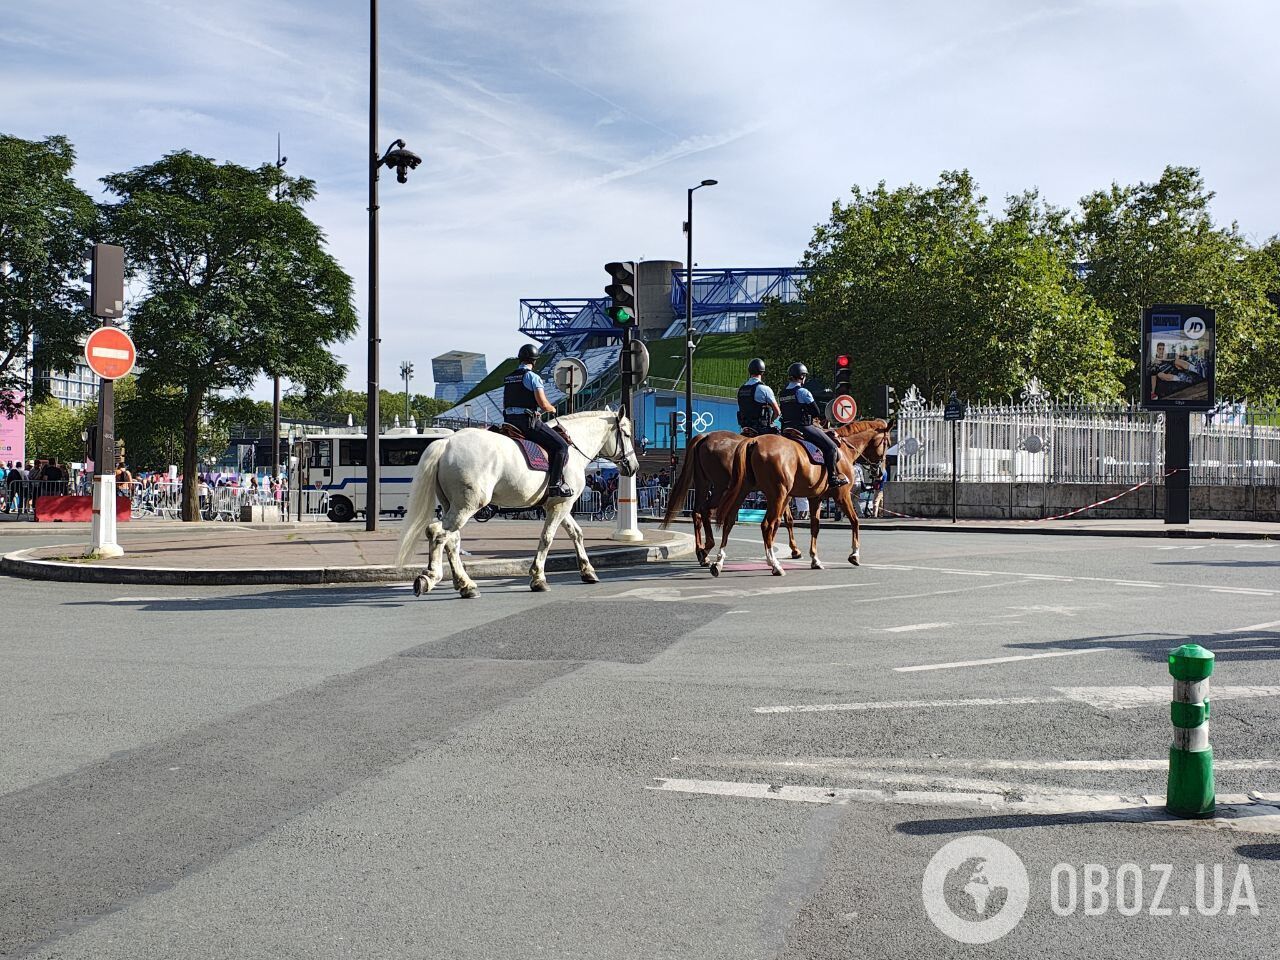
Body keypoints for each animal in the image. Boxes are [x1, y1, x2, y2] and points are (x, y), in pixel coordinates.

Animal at [391, 407, 637, 601]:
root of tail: (447, 442)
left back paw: (465, 585)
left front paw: (587, 571)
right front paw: (538, 578)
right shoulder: (560, 506)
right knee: (438, 533)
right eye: (626, 433)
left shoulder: (559, 504)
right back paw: (430, 577)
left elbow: (576, 533)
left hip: (452, 504)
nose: (633, 466)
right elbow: (547, 538)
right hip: (467, 505)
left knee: (451, 540)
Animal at [660, 430, 798, 563]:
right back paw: (707, 547)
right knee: (705, 510)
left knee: (697, 512)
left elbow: (786, 519)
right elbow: (782, 519)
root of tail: (705, 436)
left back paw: (701, 551)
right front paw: (793, 549)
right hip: (721, 488)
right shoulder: (781, 494)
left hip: (703, 483)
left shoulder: (780, 494)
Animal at [711, 422, 890, 578]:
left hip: (744, 491)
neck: (844, 450)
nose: (880, 473)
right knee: (767, 525)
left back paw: (718, 562)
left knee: (729, 521)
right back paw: (774, 565)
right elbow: (854, 521)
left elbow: (815, 527)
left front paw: (815, 560)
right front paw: (854, 555)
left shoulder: (815, 498)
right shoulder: (842, 495)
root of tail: (754, 441)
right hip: (777, 495)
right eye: (887, 442)